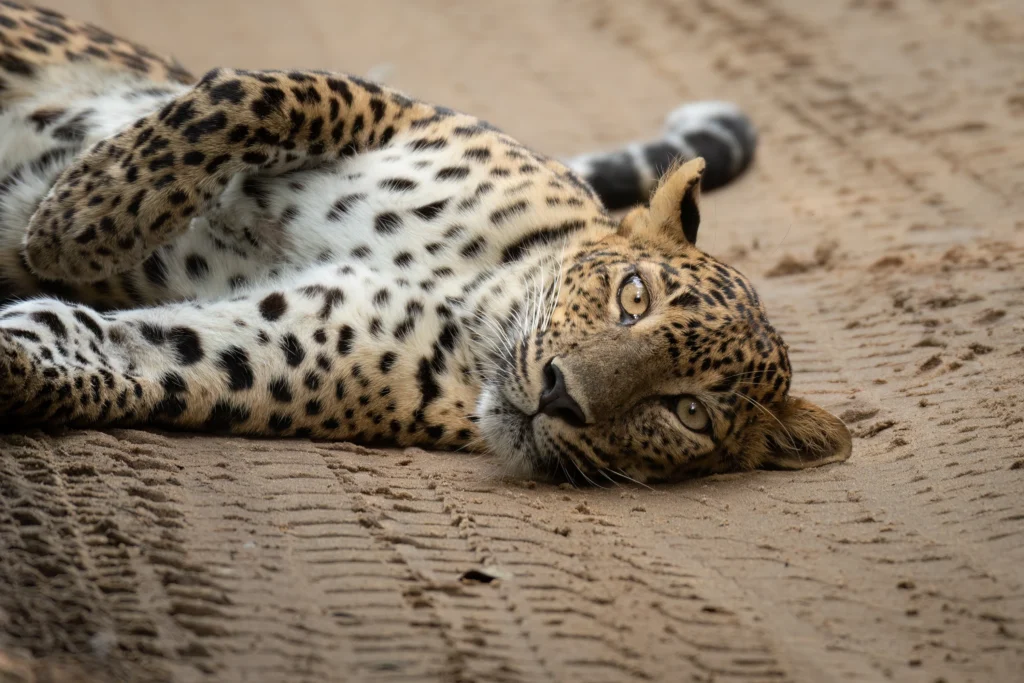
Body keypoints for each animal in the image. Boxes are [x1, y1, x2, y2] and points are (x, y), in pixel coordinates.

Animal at [0, 2, 852, 484]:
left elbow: (80, 356)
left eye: (689, 413)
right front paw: (81, 220)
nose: (560, 393)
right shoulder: (394, 111)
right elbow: (253, 94)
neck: (481, 297)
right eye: (632, 296)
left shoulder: (248, 350)